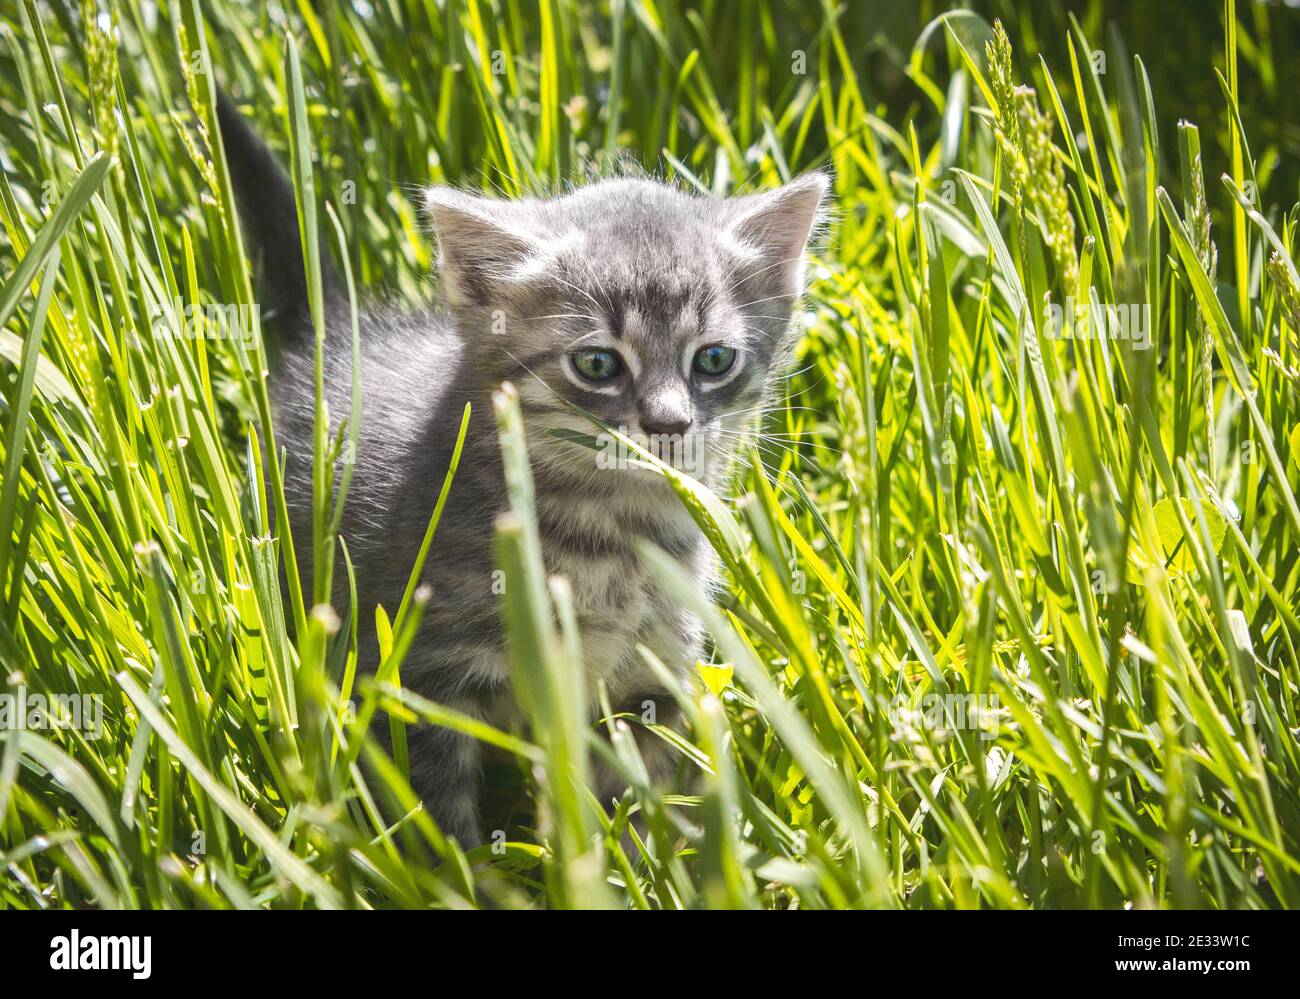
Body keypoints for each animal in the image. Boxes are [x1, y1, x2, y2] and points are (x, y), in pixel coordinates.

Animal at [213, 93, 821, 848]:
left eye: (713, 359)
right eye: (597, 363)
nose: (670, 423)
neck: (609, 534)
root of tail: (339, 334)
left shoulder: (649, 675)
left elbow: (631, 796)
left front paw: (640, 858)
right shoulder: (416, 674)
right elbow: (435, 817)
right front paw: (465, 869)